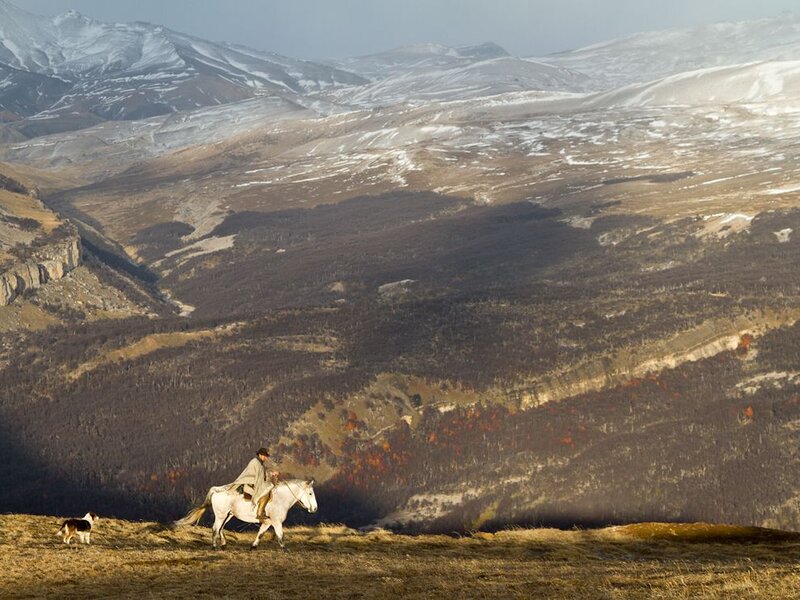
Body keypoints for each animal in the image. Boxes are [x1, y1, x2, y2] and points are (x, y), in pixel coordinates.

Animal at [174, 479, 317, 550]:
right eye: (310, 493)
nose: (315, 508)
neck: (280, 498)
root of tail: (217, 490)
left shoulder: (267, 522)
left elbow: (260, 534)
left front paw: (253, 546)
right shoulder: (276, 522)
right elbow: (280, 536)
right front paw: (285, 549)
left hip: (228, 515)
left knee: (220, 529)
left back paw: (224, 544)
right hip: (221, 516)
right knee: (215, 528)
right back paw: (214, 546)